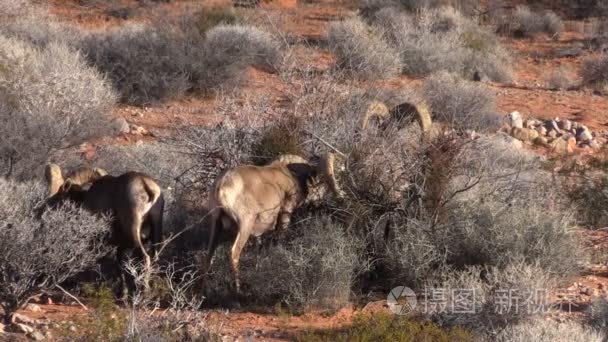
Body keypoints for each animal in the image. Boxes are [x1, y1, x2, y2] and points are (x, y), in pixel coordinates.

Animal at [44, 164, 164, 296]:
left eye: (60, 196)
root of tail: (146, 186)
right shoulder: (120, 246)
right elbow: (120, 266)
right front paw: (123, 293)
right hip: (156, 234)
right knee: (155, 258)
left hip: (134, 234)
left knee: (144, 258)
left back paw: (144, 292)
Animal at [204, 152, 344, 292]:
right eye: (321, 183)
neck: (293, 175)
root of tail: (221, 185)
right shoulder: (285, 213)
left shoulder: (258, 234)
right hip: (245, 225)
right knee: (234, 254)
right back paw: (238, 288)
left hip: (216, 225)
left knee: (209, 255)